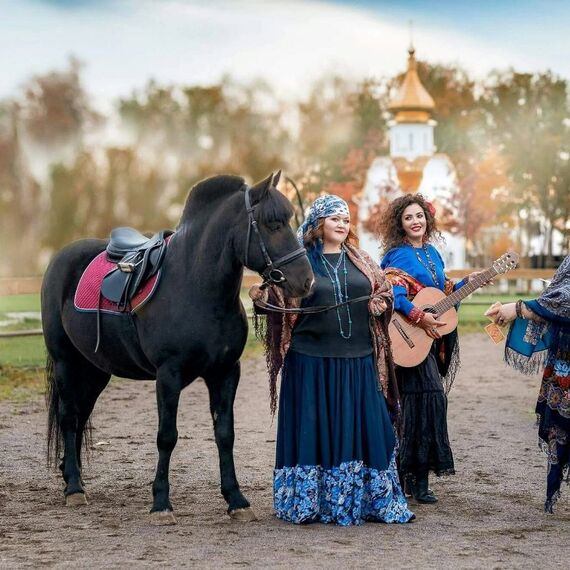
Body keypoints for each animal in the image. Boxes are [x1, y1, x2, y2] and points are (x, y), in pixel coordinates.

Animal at [42, 173, 312, 524]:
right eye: (273, 224)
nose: (306, 281)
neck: (196, 286)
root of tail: (61, 258)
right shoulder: (168, 374)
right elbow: (167, 436)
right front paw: (161, 503)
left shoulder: (226, 372)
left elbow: (225, 434)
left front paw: (236, 500)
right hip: (65, 361)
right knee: (69, 416)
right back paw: (74, 487)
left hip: (95, 369)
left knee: (80, 414)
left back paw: (71, 477)